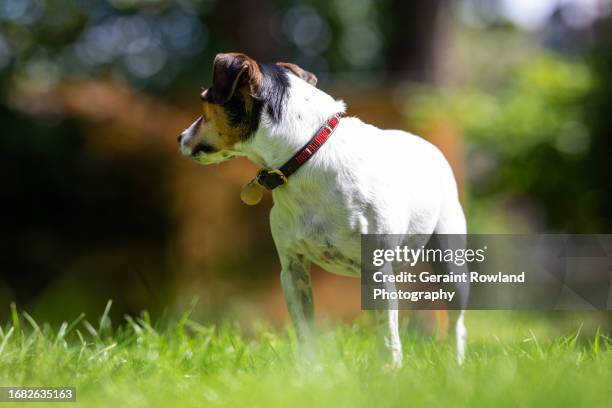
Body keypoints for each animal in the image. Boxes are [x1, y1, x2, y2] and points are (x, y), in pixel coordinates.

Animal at [179, 52, 466, 368]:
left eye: (204, 102)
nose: (180, 136)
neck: (305, 156)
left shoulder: (376, 269)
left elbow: (388, 334)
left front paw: (390, 370)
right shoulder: (293, 269)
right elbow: (306, 332)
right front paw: (310, 372)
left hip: (451, 265)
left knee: (457, 323)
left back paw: (456, 364)